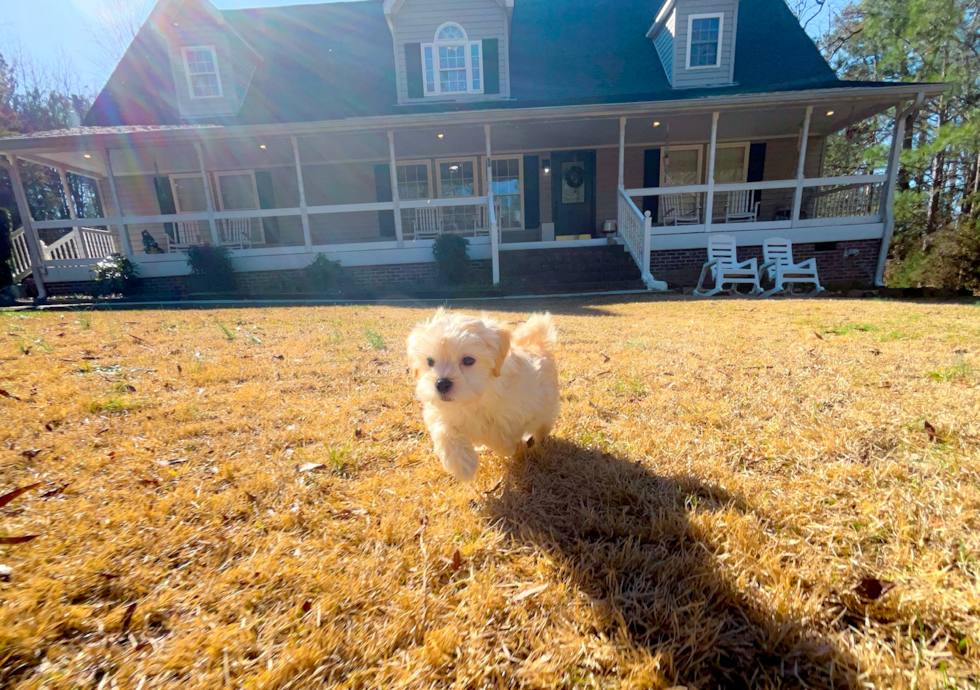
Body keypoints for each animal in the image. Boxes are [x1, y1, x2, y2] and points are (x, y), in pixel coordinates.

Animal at [406, 310, 560, 482]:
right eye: (430, 361)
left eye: (468, 360)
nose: (442, 384)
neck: (473, 400)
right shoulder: (442, 413)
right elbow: (445, 431)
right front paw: (463, 465)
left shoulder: (515, 412)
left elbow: (500, 435)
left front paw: (506, 447)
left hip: (546, 409)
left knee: (541, 427)